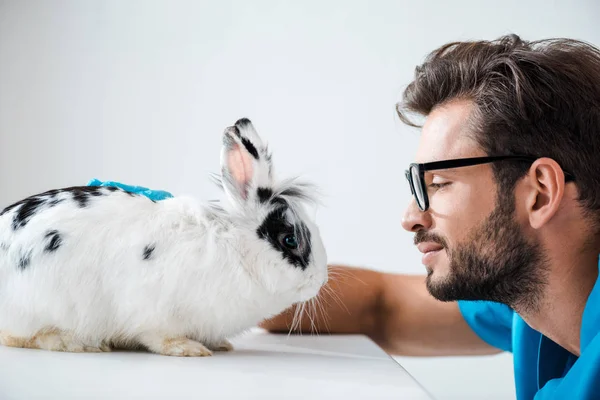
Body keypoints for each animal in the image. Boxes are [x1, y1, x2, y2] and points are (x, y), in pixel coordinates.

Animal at [0, 118, 328, 356]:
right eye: (289, 240)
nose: (320, 280)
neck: (235, 249)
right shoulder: (153, 313)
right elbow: (160, 337)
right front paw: (190, 349)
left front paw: (221, 344)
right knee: (19, 336)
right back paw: (77, 343)